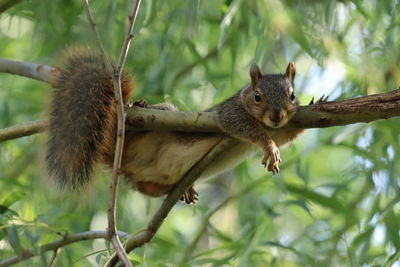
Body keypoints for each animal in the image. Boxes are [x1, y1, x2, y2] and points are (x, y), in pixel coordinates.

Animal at [46, 50, 304, 205]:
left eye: (292, 96)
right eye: (258, 96)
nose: (276, 116)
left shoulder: (280, 127)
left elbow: (286, 135)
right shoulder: (229, 112)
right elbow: (242, 125)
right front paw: (269, 146)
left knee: (148, 188)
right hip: (156, 120)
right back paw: (137, 105)